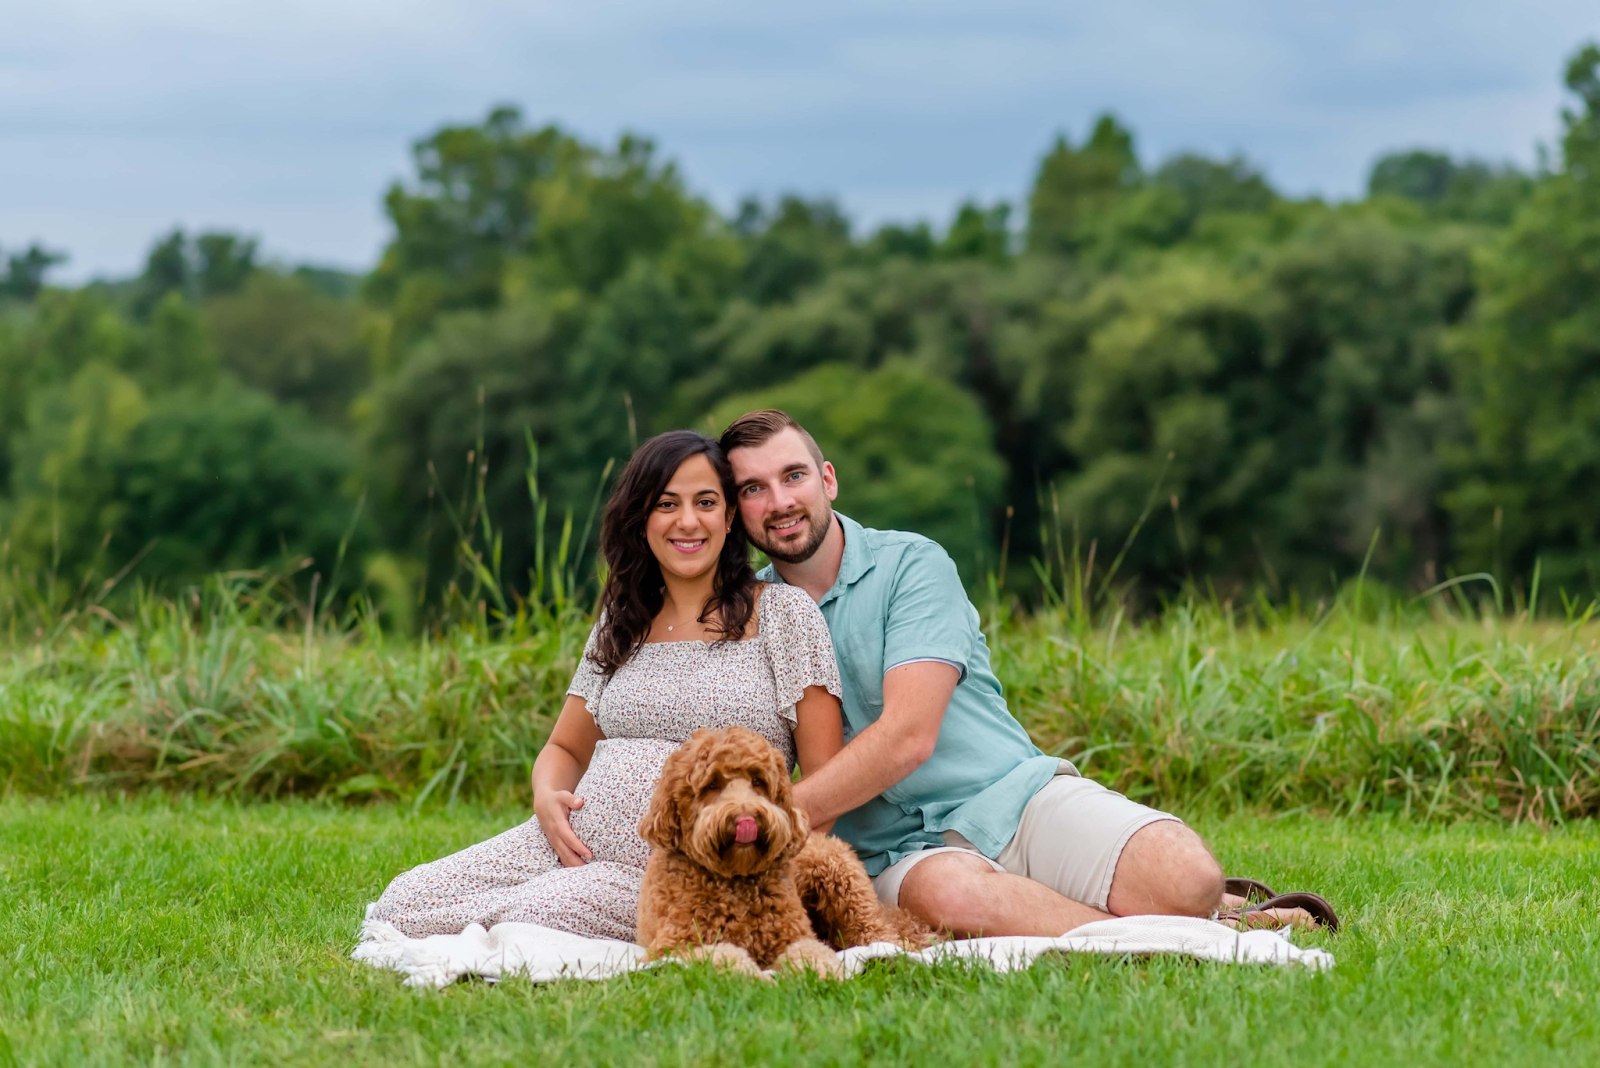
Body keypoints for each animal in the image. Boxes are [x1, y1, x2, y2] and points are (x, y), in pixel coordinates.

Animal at [636, 725, 934, 978]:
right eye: (712, 785)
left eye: (757, 781)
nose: (746, 818)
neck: (735, 880)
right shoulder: (673, 946)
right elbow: (720, 954)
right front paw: (747, 975)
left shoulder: (795, 935)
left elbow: (810, 951)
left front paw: (819, 971)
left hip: (841, 874)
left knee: (878, 932)